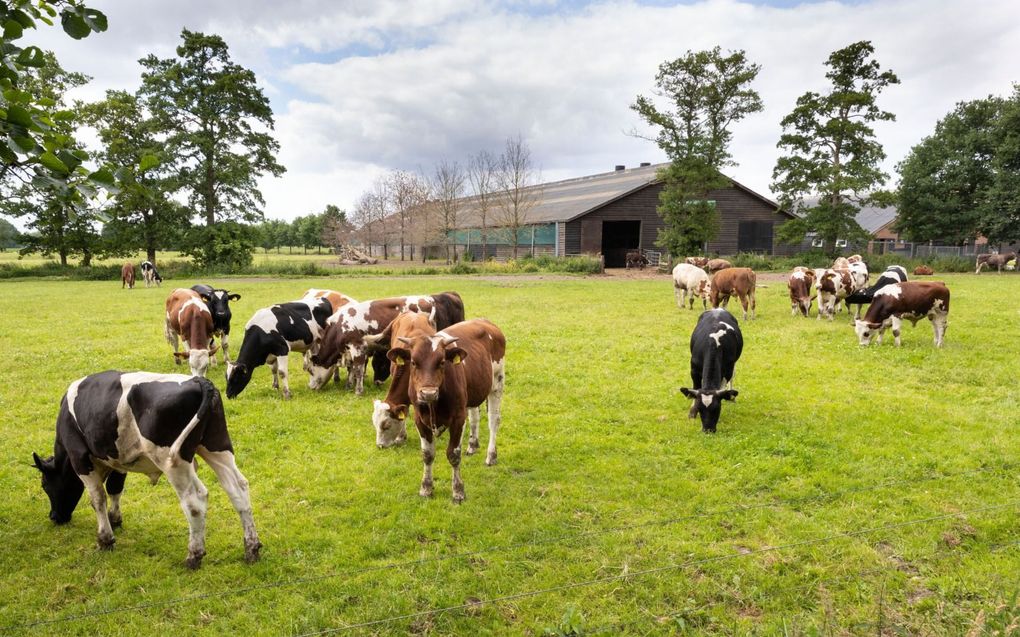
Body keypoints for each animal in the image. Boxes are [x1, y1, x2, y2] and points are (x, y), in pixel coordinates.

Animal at [33, 370, 261, 570]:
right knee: (238, 488)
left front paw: (105, 539)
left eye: (45, 485)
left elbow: (97, 498)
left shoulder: (79, 457)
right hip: (216, 445)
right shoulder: (118, 459)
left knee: (195, 502)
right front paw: (115, 519)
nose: (54, 517)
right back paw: (252, 548)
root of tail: (198, 381)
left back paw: (194, 556)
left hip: (173, 461)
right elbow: (115, 489)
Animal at [306, 291, 467, 395]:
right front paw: (349, 385)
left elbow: (358, 369)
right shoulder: (350, 350)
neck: (339, 326)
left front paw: (358, 390)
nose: (310, 387)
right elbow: (351, 367)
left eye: (310, 371)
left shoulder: (358, 346)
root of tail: (428, 299)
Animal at [385, 317, 505, 501]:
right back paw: (472, 445)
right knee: (475, 417)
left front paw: (458, 491)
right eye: (413, 362)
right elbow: (427, 454)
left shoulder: (458, 418)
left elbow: (453, 454)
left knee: (493, 421)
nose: (428, 393)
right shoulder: (420, 420)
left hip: (497, 383)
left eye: (441, 362)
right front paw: (426, 488)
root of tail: (485, 321)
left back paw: (491, 455)